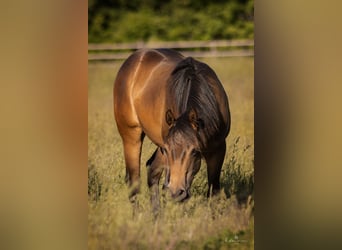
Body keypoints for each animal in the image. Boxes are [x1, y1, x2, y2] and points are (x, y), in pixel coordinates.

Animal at [113, 48, 231, 205]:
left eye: (195, 151)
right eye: (168, 150)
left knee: (152, 172)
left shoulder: (218, 149)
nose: (176, 192)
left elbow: (214, 192)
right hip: (131, 136)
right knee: (134, 181)